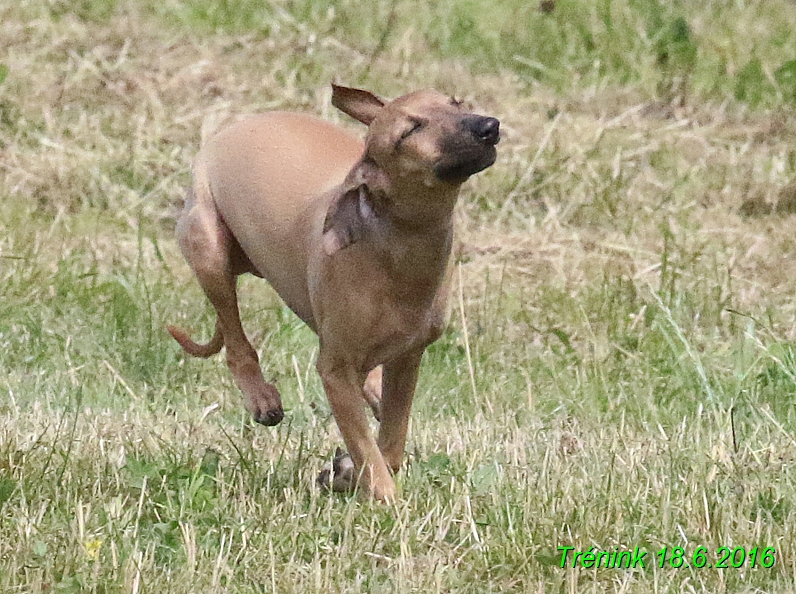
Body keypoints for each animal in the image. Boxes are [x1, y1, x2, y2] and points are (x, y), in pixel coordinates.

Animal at [169, 83, 498, 500]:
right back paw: (261, 397)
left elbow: (389, 445)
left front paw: (344, 472)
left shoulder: (408, 357)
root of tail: (233, 128)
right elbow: (369, 451)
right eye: (409, 131)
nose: (489, 126)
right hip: (208, 247)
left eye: (455, 103)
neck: (392, 243)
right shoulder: (334, 370)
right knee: (234, 338)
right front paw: (382, 497)